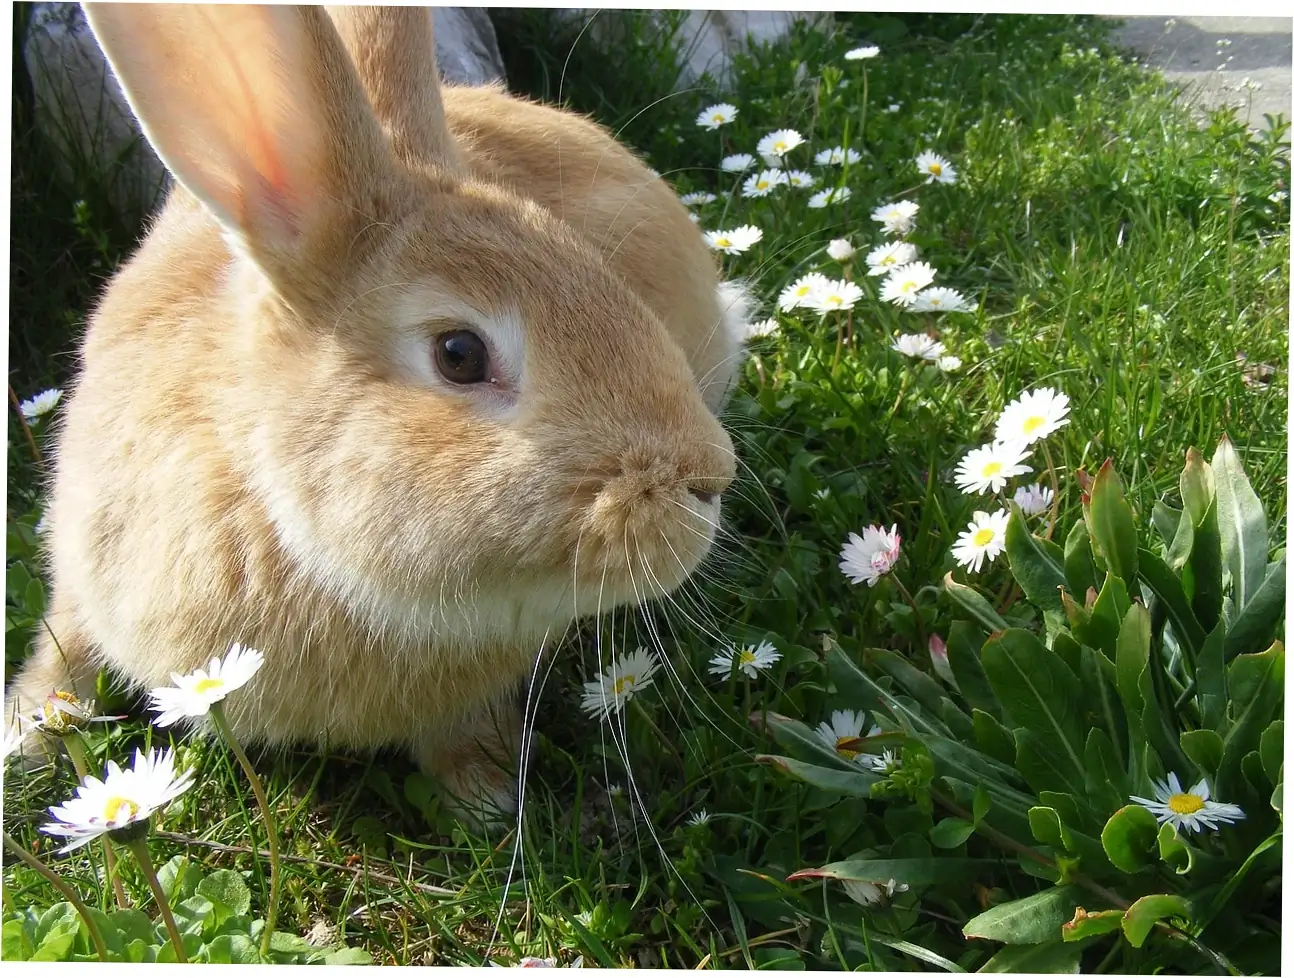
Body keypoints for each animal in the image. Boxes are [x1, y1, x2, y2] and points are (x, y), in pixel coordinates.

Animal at [4, 3, 752, 822]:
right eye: (459, 354)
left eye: (605, 274)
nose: (712, 478)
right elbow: (65, 647)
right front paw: (26, 737)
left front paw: (483, 796)